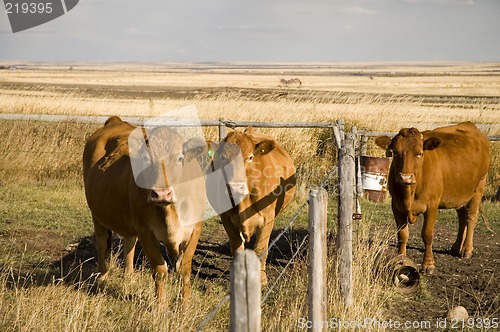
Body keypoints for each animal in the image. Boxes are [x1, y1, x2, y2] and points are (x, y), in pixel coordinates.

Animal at [82, 116, 207, 300]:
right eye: (146, 159)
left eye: (179, 158)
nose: (161, 193)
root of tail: (116, 121)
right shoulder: (146, 232)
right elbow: (160, 270)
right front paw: (161, 305)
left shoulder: (194, 229)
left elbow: (184, 270)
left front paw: (185, 304)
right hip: (97, 214)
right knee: (101, 242)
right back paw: (103, 276)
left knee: (129, 242)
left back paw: (129, 277)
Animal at [205, 126, 294, 282]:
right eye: (223, 158)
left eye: (250, 157)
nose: (235, 187)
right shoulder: (226, 219)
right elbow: (236, 248)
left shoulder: (268, 218)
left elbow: (261, 249)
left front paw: (262, 279)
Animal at [376, 123, 488, 274]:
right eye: (395, 153)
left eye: (419, 153)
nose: (405, 177)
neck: (410, 193)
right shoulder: (396, 205)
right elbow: (402, 235)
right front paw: (401, 259)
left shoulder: (432, 206)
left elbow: (427, 235)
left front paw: (428, 265)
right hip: (459, 194)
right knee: (462, 218)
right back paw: (456, 247)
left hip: (478, 188)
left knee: (471, 218)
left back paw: (466, 250)